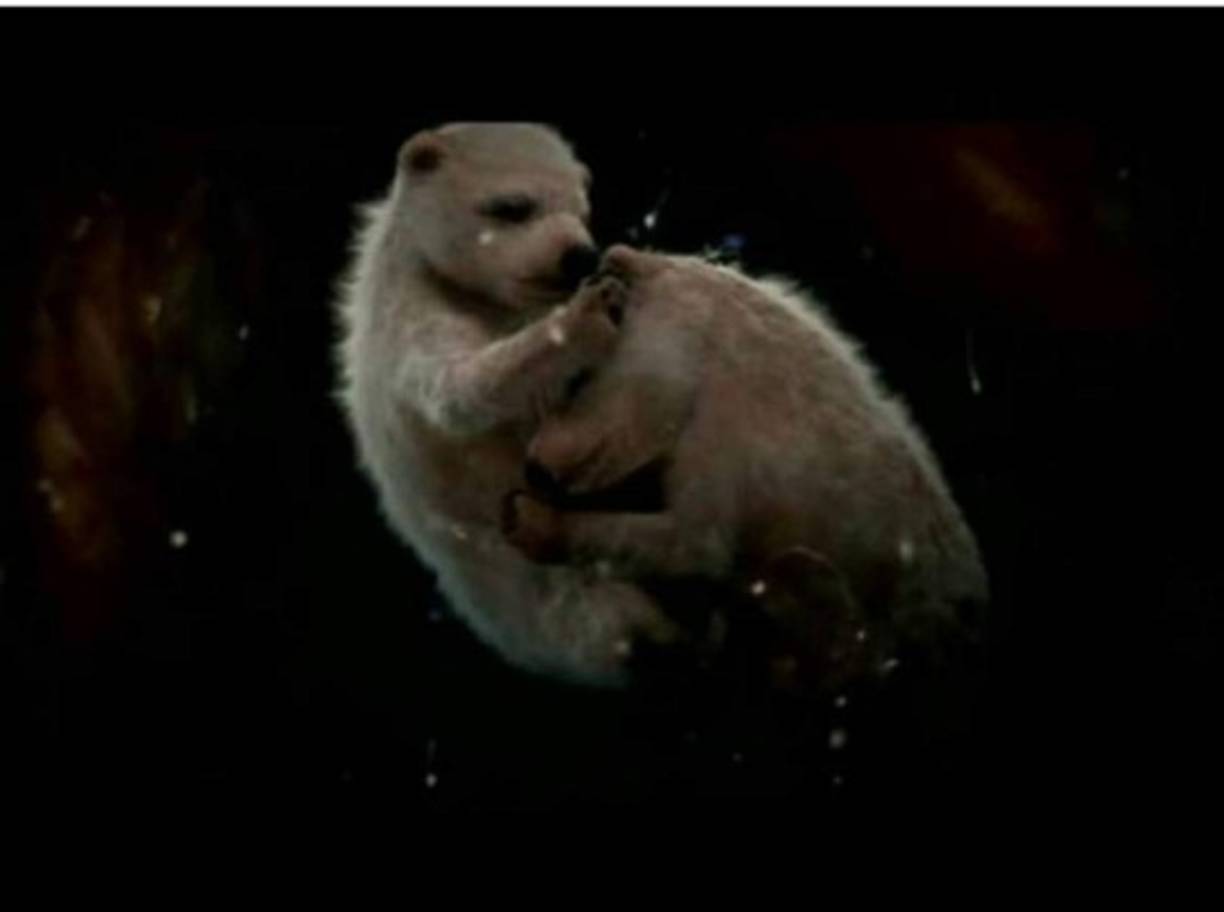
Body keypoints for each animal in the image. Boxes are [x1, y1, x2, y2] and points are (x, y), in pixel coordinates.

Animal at [333, 123, 689, 686]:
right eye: (513, 206)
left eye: (581, 209)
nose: (579, 256)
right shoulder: (412, 316)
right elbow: (461, 388)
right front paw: (587, 315)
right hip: (550, 592)